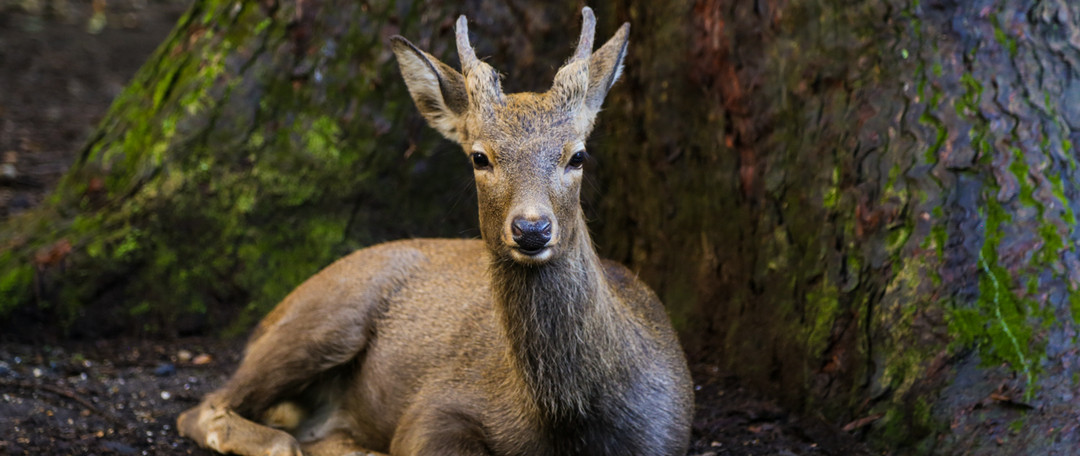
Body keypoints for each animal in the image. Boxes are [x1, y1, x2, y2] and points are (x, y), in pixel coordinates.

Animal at [177, 8, 691, 455]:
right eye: (480, 156)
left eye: (578, 155)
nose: (532, 228)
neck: (567, 423)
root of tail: (268, 319)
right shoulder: (436, 405)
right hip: (325, 317)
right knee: (210, 411)